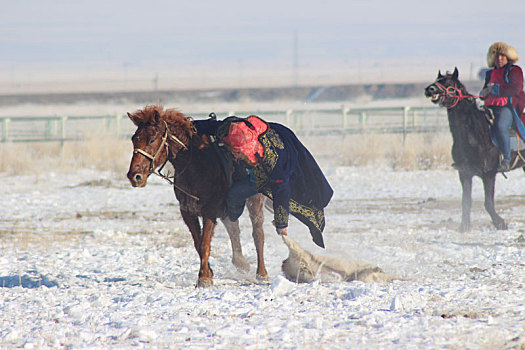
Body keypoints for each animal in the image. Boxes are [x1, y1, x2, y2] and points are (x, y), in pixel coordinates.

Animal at [125, 104, 268, 288]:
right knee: (233, 229)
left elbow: (205, 243)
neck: (195, 163)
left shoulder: (210, 210)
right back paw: (241, 263)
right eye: (134, 139)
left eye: (151, 140)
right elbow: (198, 243)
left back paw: (262, 273)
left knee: (258, 233)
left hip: (255, 201)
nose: (134, 176)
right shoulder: (187, 211)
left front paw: (204, 278)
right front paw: (208, 273)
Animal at [424, 67, 524, 232]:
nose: (429, 89)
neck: (474, 134)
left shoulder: (488, 174)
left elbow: (488, 203)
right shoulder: (464, 173)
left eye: (449, 82)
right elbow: (466, 202)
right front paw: (464, 226)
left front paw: (501, 223)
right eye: (437, 79)